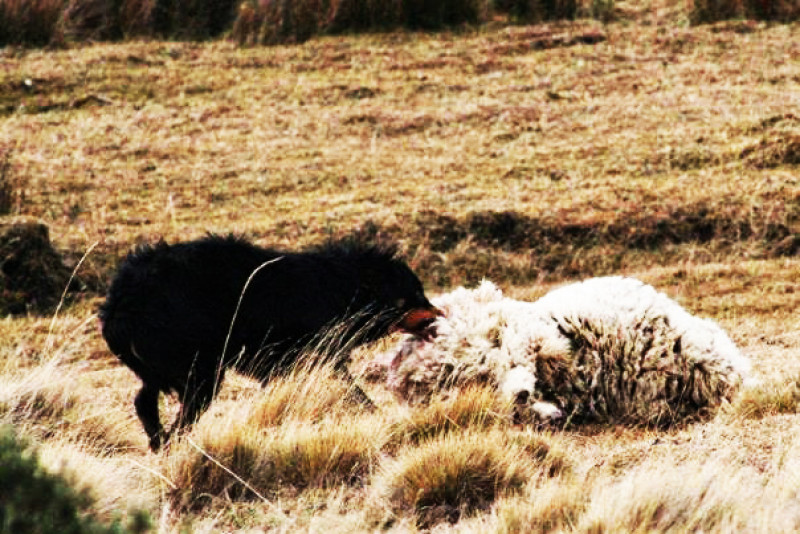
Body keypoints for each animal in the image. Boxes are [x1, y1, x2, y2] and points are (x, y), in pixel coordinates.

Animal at [98, 236, 444, 452]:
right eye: (413, 295)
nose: (441, 316)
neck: (343, 286)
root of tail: (120, 302)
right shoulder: (309, 351)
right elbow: (350, 388)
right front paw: (375, 412)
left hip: (160, 364)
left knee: (144, 400)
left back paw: (158, 442)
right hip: (197, 365)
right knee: (186, 409)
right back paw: (175, 443)